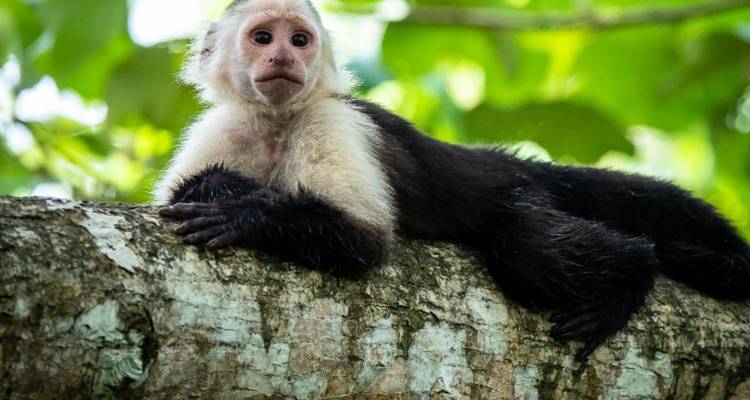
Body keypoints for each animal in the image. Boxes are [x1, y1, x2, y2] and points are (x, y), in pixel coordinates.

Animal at [156, 0, 750, 361]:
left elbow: (362, 241)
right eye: (263, 37)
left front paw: (243, 212)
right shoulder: (223, 127)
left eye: (299, 40)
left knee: (526, 244)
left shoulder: (335, 121)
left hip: (515, 192)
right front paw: (220, 190)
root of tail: (507, 163)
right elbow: (190, 186)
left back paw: (631, 272)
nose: (283, 55)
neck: (277, 122)